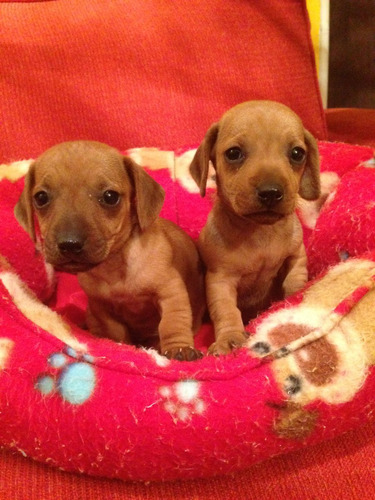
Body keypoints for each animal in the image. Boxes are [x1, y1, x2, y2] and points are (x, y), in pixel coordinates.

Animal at [15, 140, 206, 360]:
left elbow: (171, 322)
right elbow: (117, 334)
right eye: (40, 198)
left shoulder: (171, 292)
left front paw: (178, 348)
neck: (114, 266)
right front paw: (122, 348)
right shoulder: (102, 308)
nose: (69, 244)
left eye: (110, 197)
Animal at [191, 99, 320, 354]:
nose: (271, 192)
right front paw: (229, 338)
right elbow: (226, 310)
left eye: (297, 153)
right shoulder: (220, 280)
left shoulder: (296, 255)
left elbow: (295, 280)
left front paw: (294, 301)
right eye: (233, 153)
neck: (260, 233)